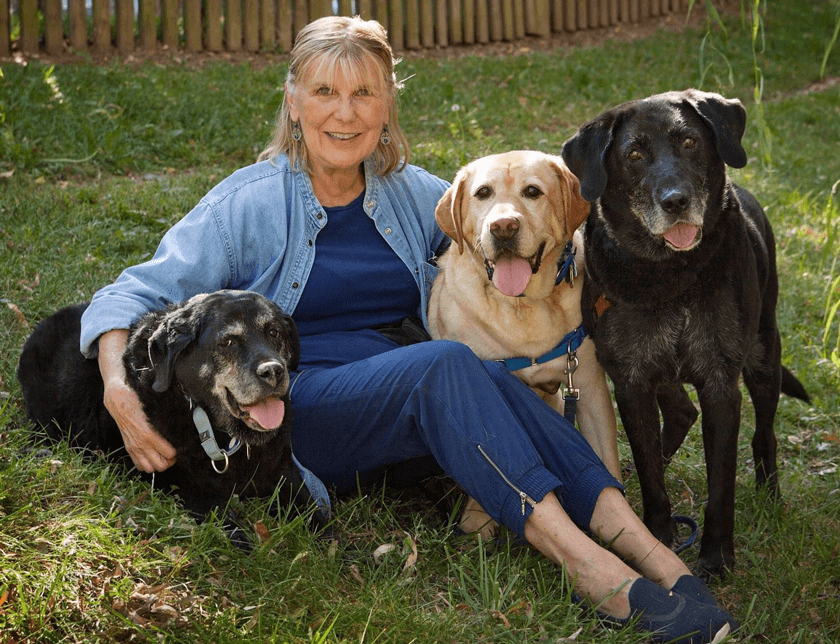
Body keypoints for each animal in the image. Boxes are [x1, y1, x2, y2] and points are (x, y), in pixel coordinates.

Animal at [16, 292, 330, 548]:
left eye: (274, 332)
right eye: (228, 341)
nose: (274, 371)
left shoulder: (284, 473)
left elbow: (318, 517)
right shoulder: (185, 487)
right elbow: (233, 531)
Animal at [560, 88, 812, 576]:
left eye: (691, 142)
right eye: (634, 155)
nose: (675, 201)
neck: (669, 275)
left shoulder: (720, 384)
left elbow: (721, 484)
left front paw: (716, 556)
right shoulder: (633, 379)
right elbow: (650, 474)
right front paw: (659, 537)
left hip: (763, 354)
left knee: (764, 433)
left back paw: (770, 495)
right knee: (679, 412)